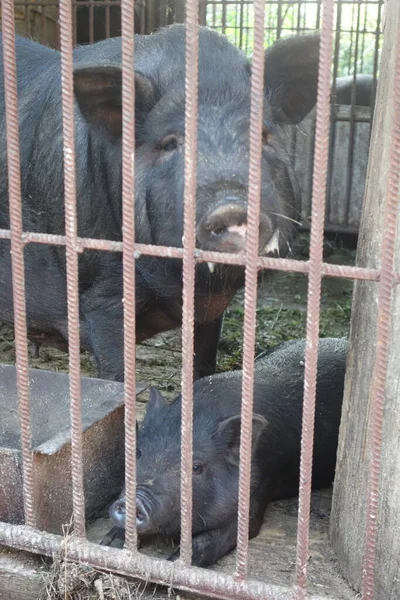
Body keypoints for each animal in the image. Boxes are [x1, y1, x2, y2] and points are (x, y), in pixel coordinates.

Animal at [0, 27, 318, 380]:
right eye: (168, 143)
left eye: (263, 135)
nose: (232, 206)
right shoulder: (101, 295)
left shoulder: (211, 308)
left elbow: (203, 364)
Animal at [108, 338, 346, 568]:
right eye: (138, 452)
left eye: (197, 467)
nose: (136, 499)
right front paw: (110, 542)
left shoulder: (257, 490)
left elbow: (217, 537)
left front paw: (175, 563)